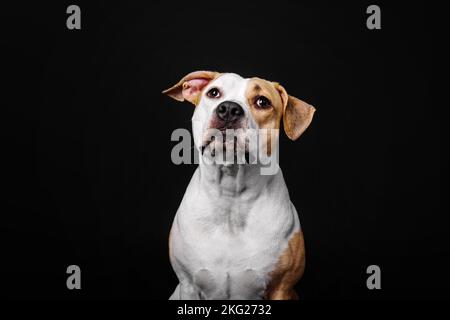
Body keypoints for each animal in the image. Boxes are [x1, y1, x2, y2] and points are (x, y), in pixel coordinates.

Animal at [163, 70, 314, 300]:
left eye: (262, 102)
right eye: (213, 93)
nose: (228, 109)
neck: (231, 196)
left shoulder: (282, 288)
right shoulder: (188, 285)